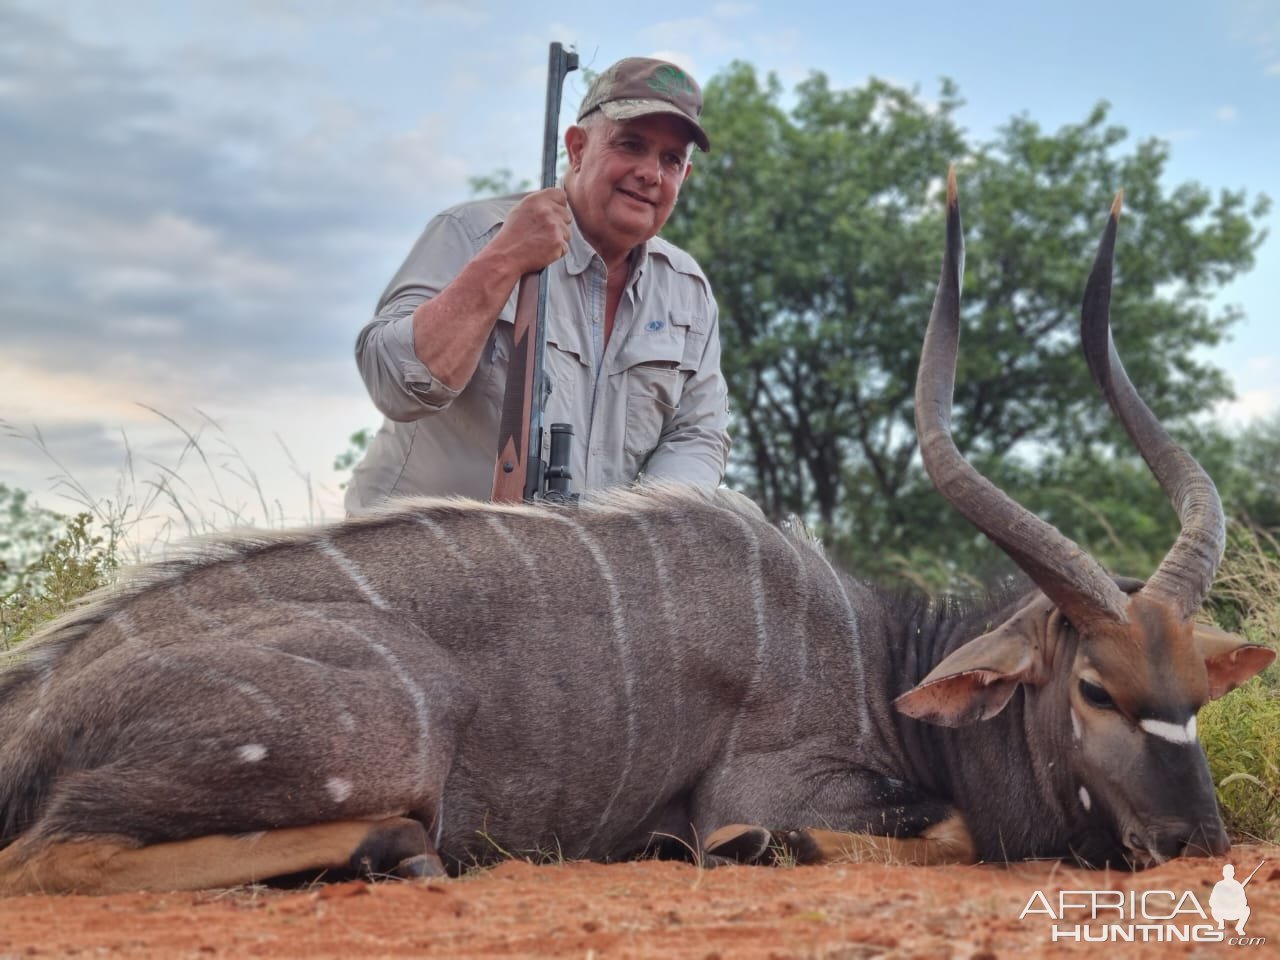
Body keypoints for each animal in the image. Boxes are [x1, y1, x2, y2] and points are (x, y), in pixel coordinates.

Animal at [0, 171, 1269, 896]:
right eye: (1092, 689)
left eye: (1194, 694)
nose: (1194, 843)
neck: (878, 664)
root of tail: (39, 708)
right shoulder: (771, 786)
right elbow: (917, 831)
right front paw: (729, 853)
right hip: (392, 728)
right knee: (51, 853)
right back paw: (387, 853)